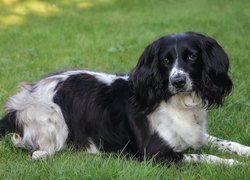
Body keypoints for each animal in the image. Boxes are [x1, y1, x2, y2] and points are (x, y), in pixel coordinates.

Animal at [0, 32, 250, 165]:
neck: (177, 104)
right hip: (54, 118)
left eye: (191, 57)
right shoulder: (156, 153)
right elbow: (205, 156)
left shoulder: (194, 134)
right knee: (33, 149)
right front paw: (234, 164)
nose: (178, 81)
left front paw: (244, 151)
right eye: (165, 60)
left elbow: (222, 142)